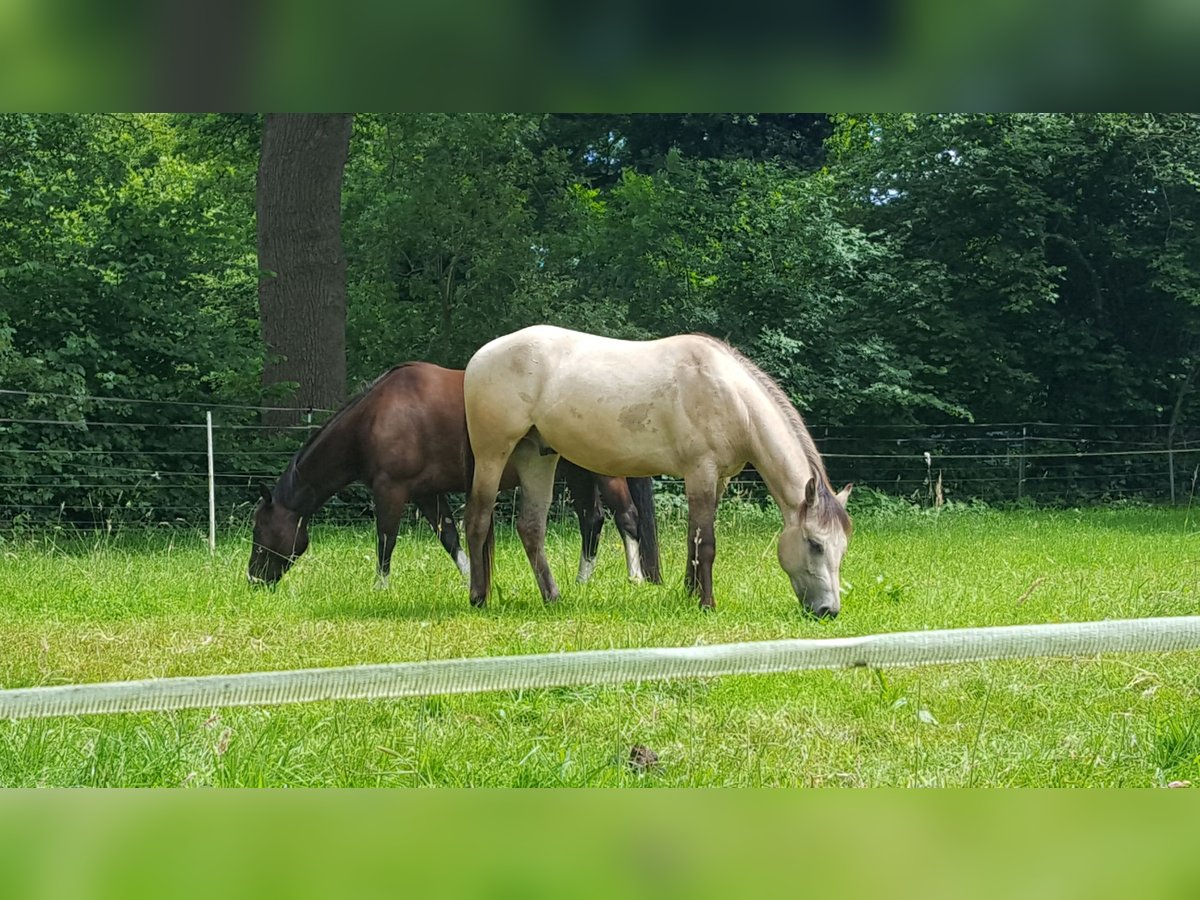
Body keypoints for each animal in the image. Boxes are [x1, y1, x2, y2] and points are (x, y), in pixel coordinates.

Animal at [242, 362, 657, 588]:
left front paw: (380, 588)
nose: (254, 580)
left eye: (259, 530)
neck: (375, 418)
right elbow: (449, 538)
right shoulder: (427, 493)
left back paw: (634, 578)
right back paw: (582, 580)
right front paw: (472, 580)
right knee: (592, 519)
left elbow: (385, 541)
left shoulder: (390, 490)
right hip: (577, 472)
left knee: (625, 517)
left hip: (600, 472)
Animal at [460, 328, 854, 619]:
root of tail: (480, 357)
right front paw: (706, 604)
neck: (731, 397)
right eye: (815, 544)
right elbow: (706, 544)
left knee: (531, 528)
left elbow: (694, 539)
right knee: (477, 520)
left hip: (538, 457)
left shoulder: (717, 480)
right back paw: (478, 597)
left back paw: (552, 596)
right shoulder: (700, 473)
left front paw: (689, 593)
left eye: (842, 547)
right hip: (493, 454)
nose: (828, 611)